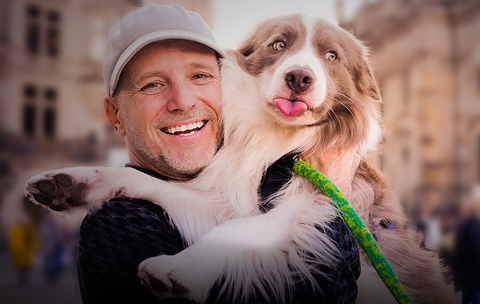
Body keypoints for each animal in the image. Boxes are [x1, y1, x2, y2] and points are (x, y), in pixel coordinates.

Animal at [25, 12, 454, 304]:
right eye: (279, 45)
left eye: (331, 56)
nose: (300, 77)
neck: (277, 141)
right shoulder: (230, 201)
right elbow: (148, 181)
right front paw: (73, 182)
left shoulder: (312, 205)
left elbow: (236, 230)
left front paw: (176, 268)